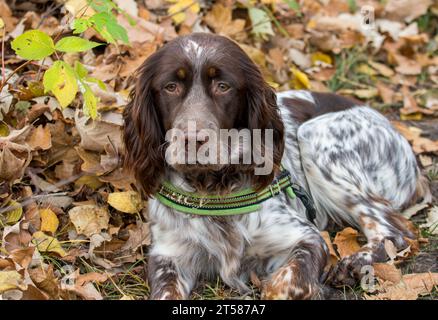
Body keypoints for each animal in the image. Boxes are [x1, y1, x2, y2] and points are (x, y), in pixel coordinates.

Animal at [123, 33, 432, 300]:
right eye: (170, 87)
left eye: (223, 86)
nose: (191, 139)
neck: (212, 188)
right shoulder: (168, 255)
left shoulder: (306, 237)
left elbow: (287, 283)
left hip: (315, 138)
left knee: (393, 231)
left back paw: (354, 264)